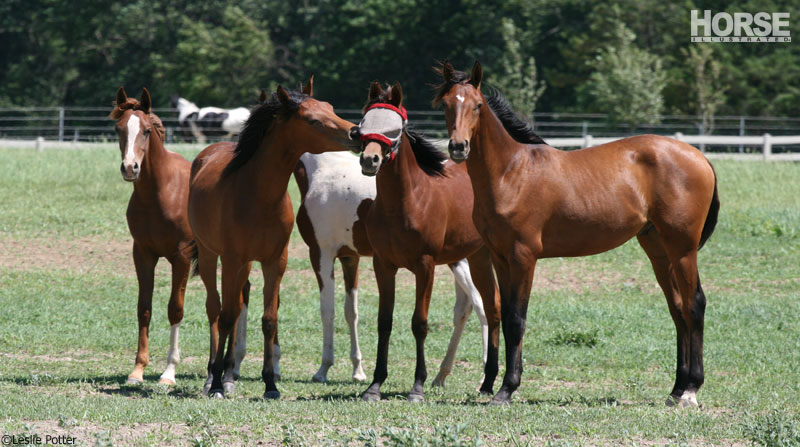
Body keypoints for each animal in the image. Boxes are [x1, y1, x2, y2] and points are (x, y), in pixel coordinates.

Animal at [108, 88, 195, 388]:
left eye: (146, 131)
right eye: (119, 129)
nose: (129, 167)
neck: (162, 191)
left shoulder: (181, 257)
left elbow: (175, 309)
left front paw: (169, 373)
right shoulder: (143, 254)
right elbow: (144, 308)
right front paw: (137, 370)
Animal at [188, 78, 356, 400]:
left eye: (329, 107)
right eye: (312, 120)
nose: (356, 132)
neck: (258, 196)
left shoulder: (275, 261)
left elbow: (268, 319)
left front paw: (270, 384)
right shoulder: (231, 259)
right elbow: (226, 316)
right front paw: (216, 385)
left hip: (244, 266)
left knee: (237, 306)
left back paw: (229, 373)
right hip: (210, 256)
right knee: (215, 310)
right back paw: (213, 375)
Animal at [354, 81, 500, 402]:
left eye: (394, 129)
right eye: (363, 125)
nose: (370, 160)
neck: (405, 203)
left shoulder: (425, 265)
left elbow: (419, 323)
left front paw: (417, 387)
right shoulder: (383, 265)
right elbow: (384, 322)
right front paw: (375, 385)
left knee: (491, 307)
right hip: (477, 258)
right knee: (490, 305)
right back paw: (477, 380)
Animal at [434, 61, 720, 408]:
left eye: (477, 105)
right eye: (446, 104)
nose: (458, 147)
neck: (510, 173)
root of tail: (699, 156)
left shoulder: (524, 257)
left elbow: (517, 318)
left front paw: (506, 389)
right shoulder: (500, 258)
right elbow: (503, 312)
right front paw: (502, 384)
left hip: (682, 249)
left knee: (694, 305)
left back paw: (691, 390)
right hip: (658, 249)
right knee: (677, 309)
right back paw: (676, 389)